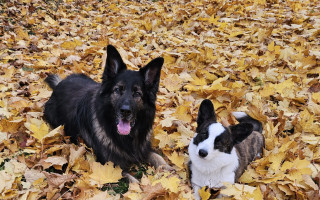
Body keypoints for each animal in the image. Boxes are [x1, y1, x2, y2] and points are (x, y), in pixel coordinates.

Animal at [44, 45, 172, 181]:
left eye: (137, 93)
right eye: (117, 90)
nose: (125, 111)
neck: (126, 137)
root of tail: (59, 84)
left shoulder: (143, 148)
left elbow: (158, 157)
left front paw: (170, 170)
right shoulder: (111, 165)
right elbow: (134, 181)